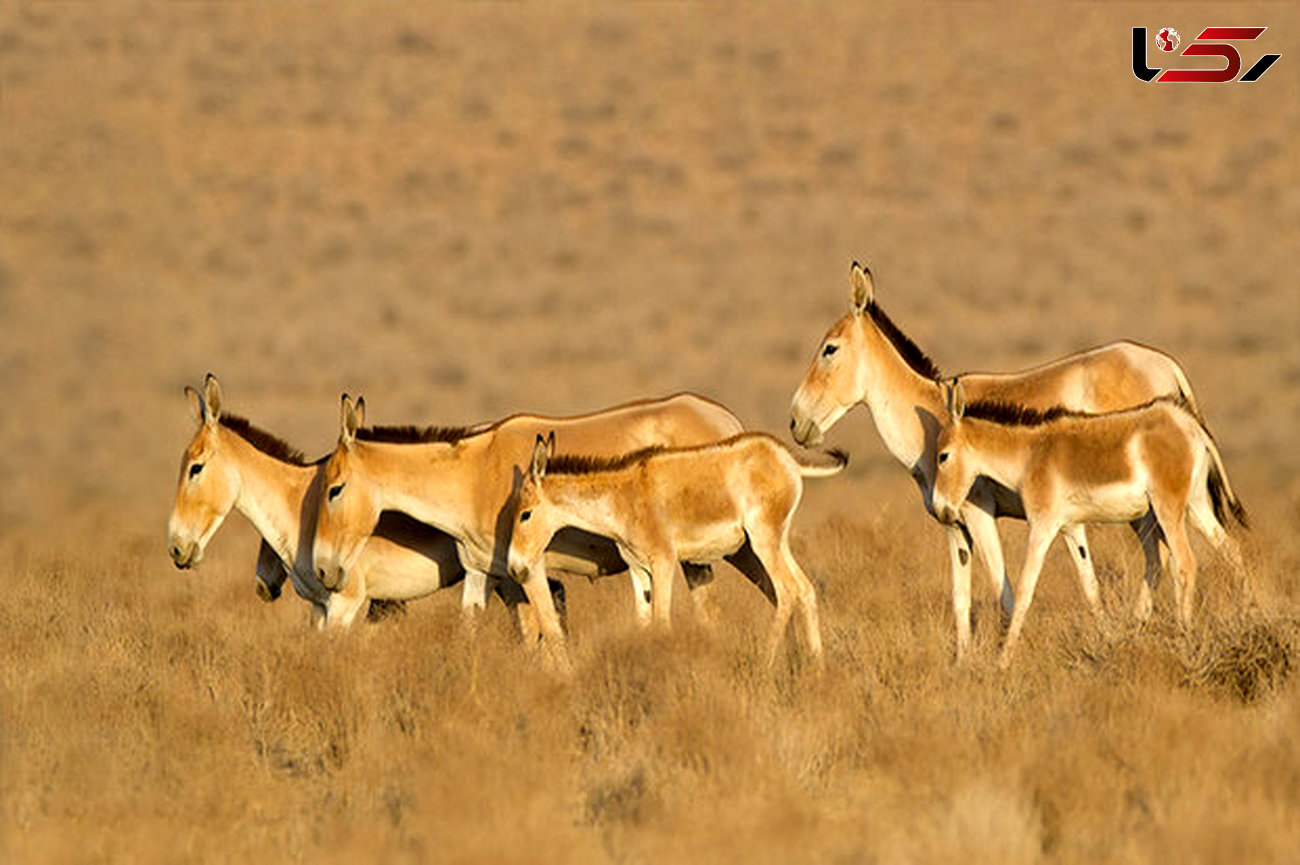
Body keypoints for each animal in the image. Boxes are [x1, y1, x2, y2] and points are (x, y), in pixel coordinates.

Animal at [501, 434, 847, 663]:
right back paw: (817, 667)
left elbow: (661, 621)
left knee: (787, 591)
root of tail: (785, 456)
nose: (515, 567)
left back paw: (766, 662)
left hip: (763, 540)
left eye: (525, 514)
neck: (623, 499)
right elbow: (643, 622)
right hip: (778, 540)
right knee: (805, 588)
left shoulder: (663, 561)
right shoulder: (638, 568)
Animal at [935, 379, 1248, 665]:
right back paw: (1248, 615)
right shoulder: (1070, 528)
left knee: (1185, 564)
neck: (1029, 456)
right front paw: (1108, 640)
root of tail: (1187, 424)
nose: (941, 510)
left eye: (943, 456)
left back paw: (1186, 639)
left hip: (1168, 507)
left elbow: (1024, 589)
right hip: (1195, 506)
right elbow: (1090, 584)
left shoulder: (1042, 525)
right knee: (1231, 551)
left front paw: (1003, 660)